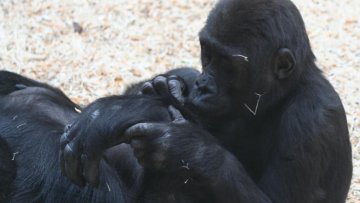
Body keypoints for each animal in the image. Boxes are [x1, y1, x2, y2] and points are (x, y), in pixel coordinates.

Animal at [60, 0, 350, 202]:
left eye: (228, 66)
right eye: (207, 54)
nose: (203, 86)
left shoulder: (311, 120)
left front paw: (183, 146)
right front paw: (158, 95)